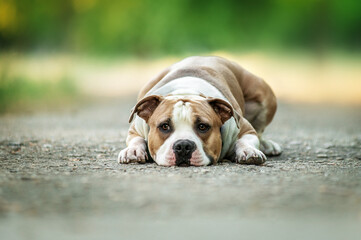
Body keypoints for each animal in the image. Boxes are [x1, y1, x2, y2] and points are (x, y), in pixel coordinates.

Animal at [118, 55, 282, 167]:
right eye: (164, 126)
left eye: (203, 126)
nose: (183, 146)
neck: (186, 90)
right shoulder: (135, 128)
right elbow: (136, 139)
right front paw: (132, 151)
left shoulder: (245, 128)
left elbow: (247, 138)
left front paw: (249, 151)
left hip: (263, 93)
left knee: (260, 130)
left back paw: (267, 145)